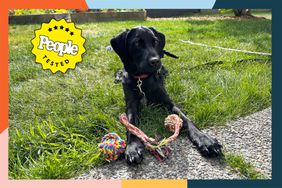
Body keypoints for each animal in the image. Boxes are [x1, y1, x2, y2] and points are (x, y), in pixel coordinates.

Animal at [109, 26, 221, 164]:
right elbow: (131, 125)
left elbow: (185, 118)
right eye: (137, 44)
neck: (142, 79)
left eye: (155, 41)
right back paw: (118, 77)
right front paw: (133, 147)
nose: (156, 61)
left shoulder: (168, 101)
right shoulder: (131, 104)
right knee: (119, 72)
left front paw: (204, 139)